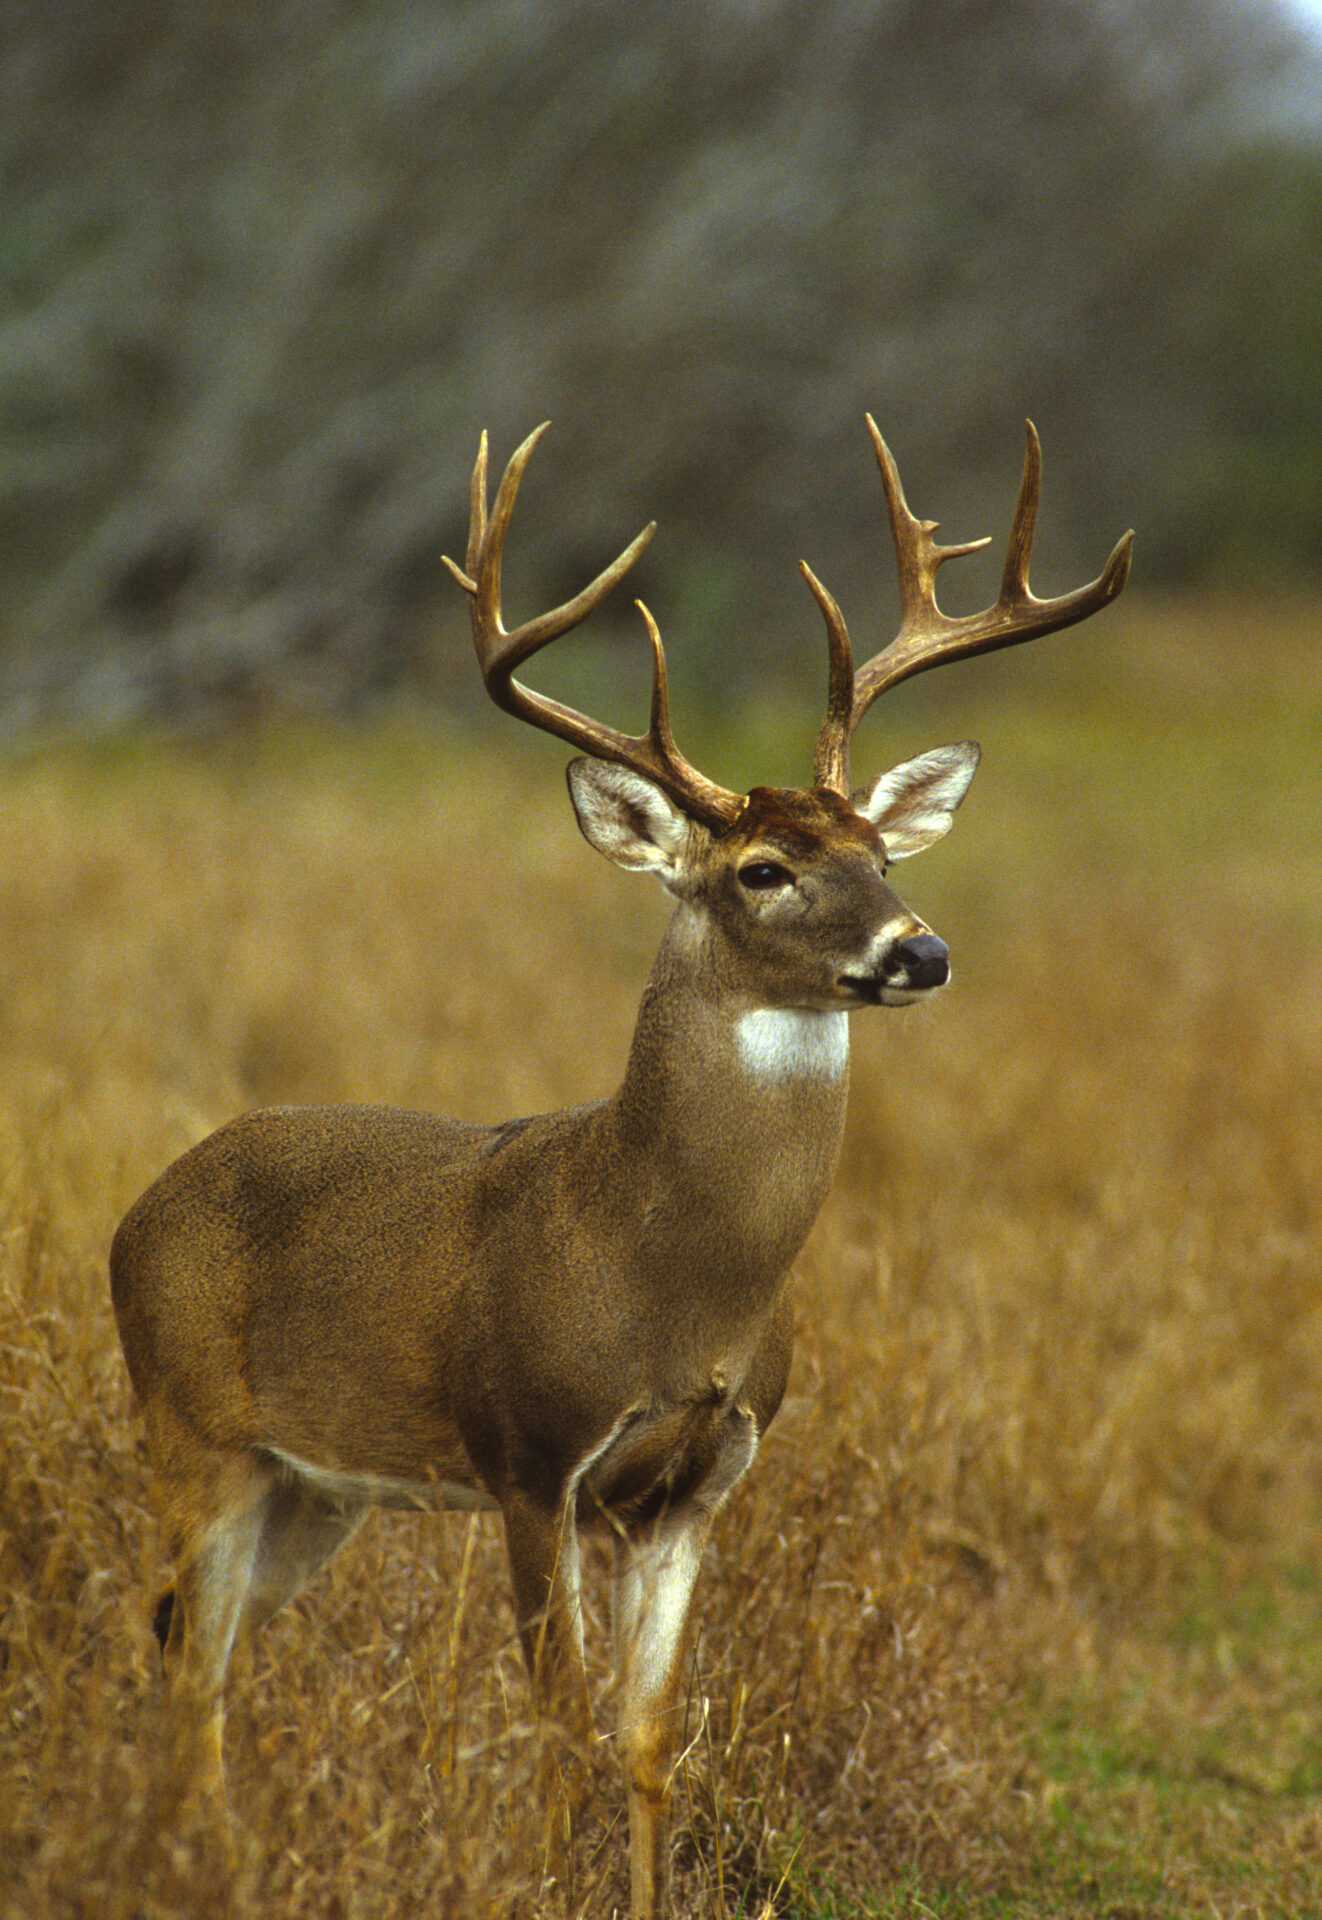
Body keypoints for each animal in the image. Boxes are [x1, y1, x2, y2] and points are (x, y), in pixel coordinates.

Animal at [108, 420, 1128, 1920]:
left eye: (878, 851)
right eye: (759, 868)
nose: (921, 951)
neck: (665, 1275)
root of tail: (138, 1210)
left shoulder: (696, 1486)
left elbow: (648, 1739)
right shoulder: (530, 1454)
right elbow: (556, 1728)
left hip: (311, 1486)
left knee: (203, 1657)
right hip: (189, 1428)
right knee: (182, 1660)